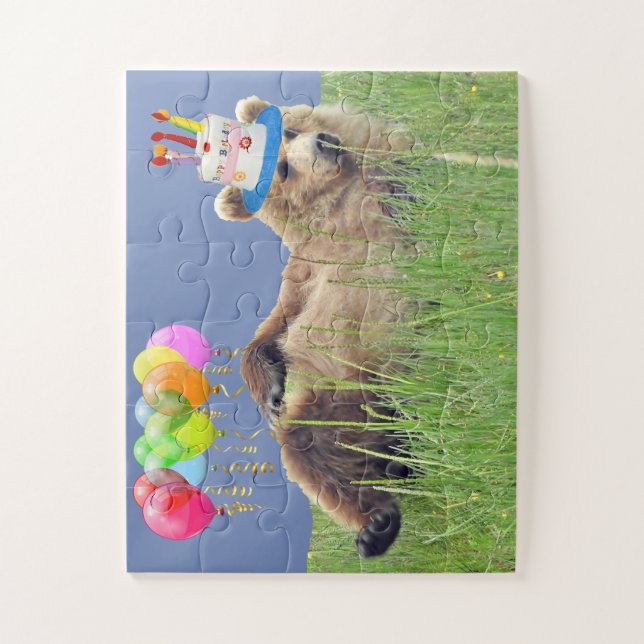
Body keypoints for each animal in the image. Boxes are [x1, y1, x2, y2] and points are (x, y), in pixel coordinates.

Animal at [214, 95, 414, 557]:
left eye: (288, 131)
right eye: (284, 170)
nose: (323, 143)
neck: (334, 203)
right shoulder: (305, 273)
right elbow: (275, 326)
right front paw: (270, 395)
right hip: (338, 389)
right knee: (312, 448)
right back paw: (375, 524)